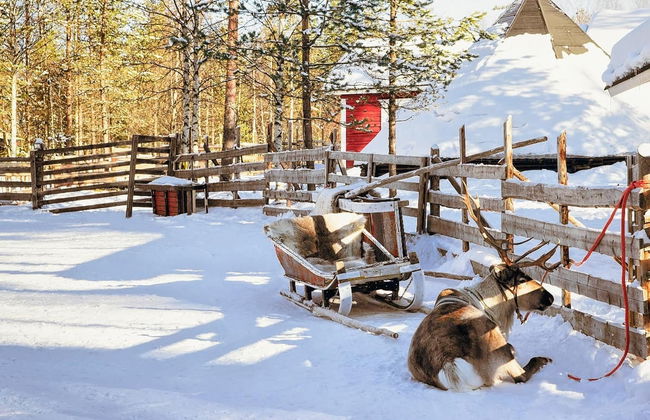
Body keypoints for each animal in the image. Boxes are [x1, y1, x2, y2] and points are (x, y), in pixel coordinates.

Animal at [408, 190, 560, 391]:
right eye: (521, 279)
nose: (550, 297)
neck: (492, 307)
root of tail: (448, 364)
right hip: (497, 346)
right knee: (522, 372)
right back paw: (544, 359)